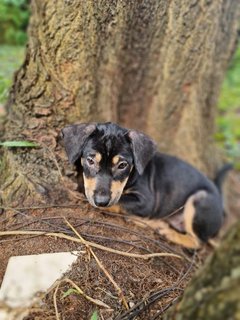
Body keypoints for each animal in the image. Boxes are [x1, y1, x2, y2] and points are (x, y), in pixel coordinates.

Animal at [61, 121, 230, 249]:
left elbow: (120, 202)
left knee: (198, 242)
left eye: (122, 165)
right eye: (90, 160)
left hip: (200, 199)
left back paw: (165, 231)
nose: (101, 201)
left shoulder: (146, 201)